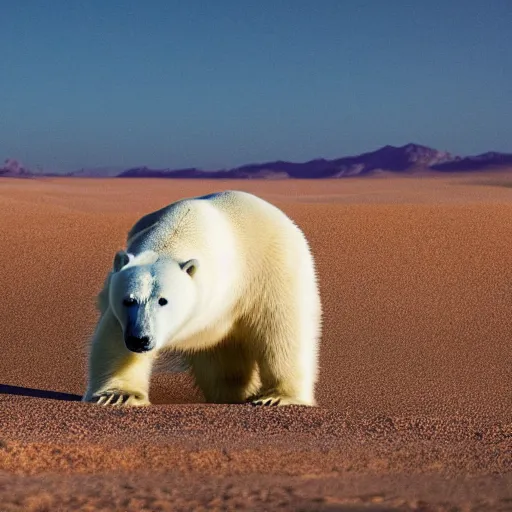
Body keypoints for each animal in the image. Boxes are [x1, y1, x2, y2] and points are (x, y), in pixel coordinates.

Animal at [82, 190, 322, 406]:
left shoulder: (261, 275)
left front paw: (276, 397)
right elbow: (113, 339)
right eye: (129, 300)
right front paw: (118, 395)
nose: (140, 339)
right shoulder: (121, 313)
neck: (178, 231)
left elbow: (280, 331)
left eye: (163, 300)